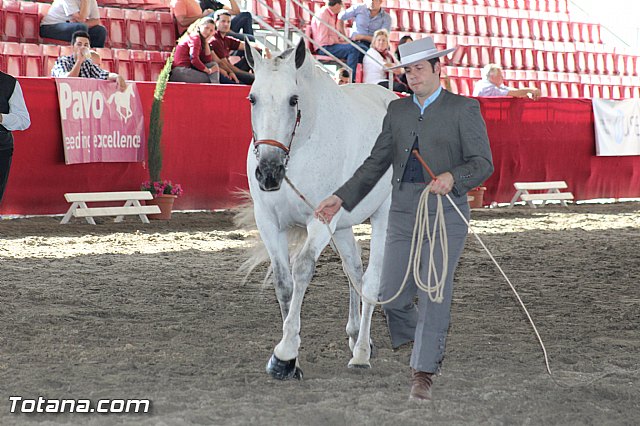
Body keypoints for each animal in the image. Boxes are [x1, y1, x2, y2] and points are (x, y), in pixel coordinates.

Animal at [245, 40, 396, 380]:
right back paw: (355, 336)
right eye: (252, 98)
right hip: (343, 227)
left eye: (293, 99)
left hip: (383, 214)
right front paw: (293, 363)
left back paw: (362, 352)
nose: (269, 173)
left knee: (372, 278)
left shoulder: (321, 219)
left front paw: (284, 354)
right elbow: (284, 283)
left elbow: (302, 270)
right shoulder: (268, 222)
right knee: (354, 269)